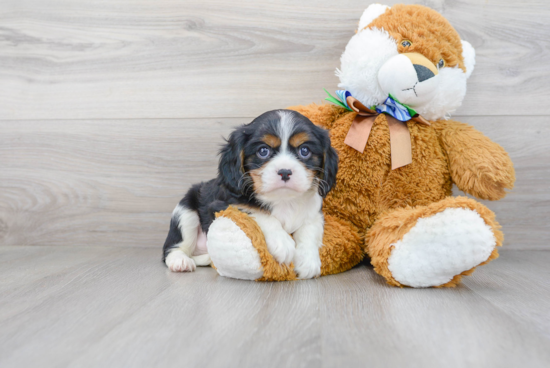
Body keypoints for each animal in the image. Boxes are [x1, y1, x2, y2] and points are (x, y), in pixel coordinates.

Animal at [162, 109, 338, 278]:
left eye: (304, 150)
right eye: (263, 151)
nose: (285, 172)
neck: (283, 199)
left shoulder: (314, 213)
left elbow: (310, 231)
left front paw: (308, 261)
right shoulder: (224, 205)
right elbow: (259, 213)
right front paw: (282, 242)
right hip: (185, 212)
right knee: (171, 249)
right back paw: (181, 261)